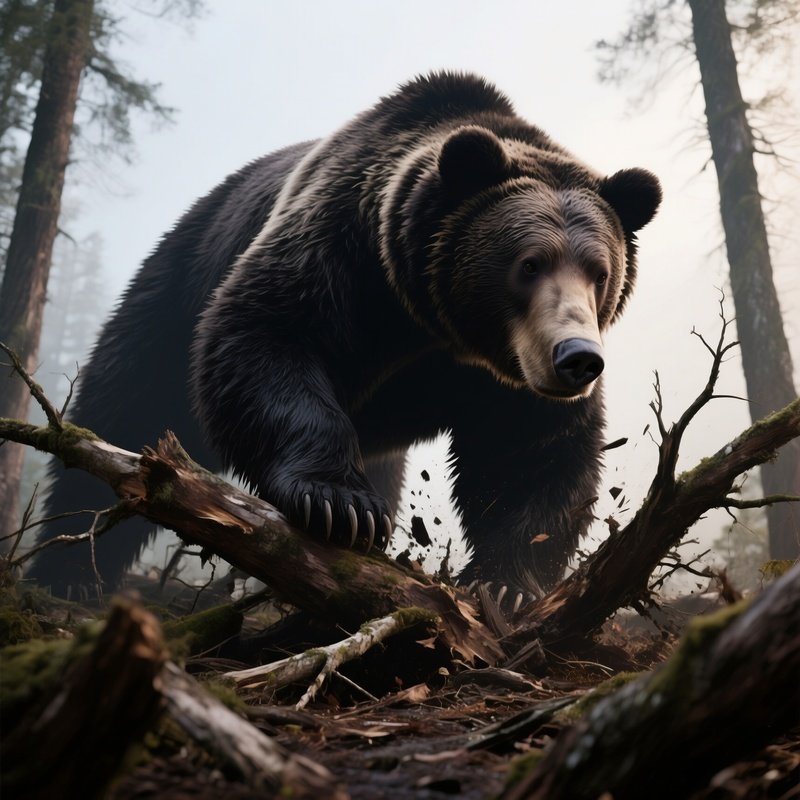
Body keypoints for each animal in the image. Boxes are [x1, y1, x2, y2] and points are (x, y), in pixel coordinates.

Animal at [28, 72, 661, 601]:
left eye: (600, 273)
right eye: (529, 264)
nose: (577, 358)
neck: (432, 325)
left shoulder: (504, 373)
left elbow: (534, 450)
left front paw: (506, 583)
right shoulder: (343, 256)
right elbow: (266, 335)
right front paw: (340, 504)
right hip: (178, 279)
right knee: (126, 404)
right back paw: (69, 573)